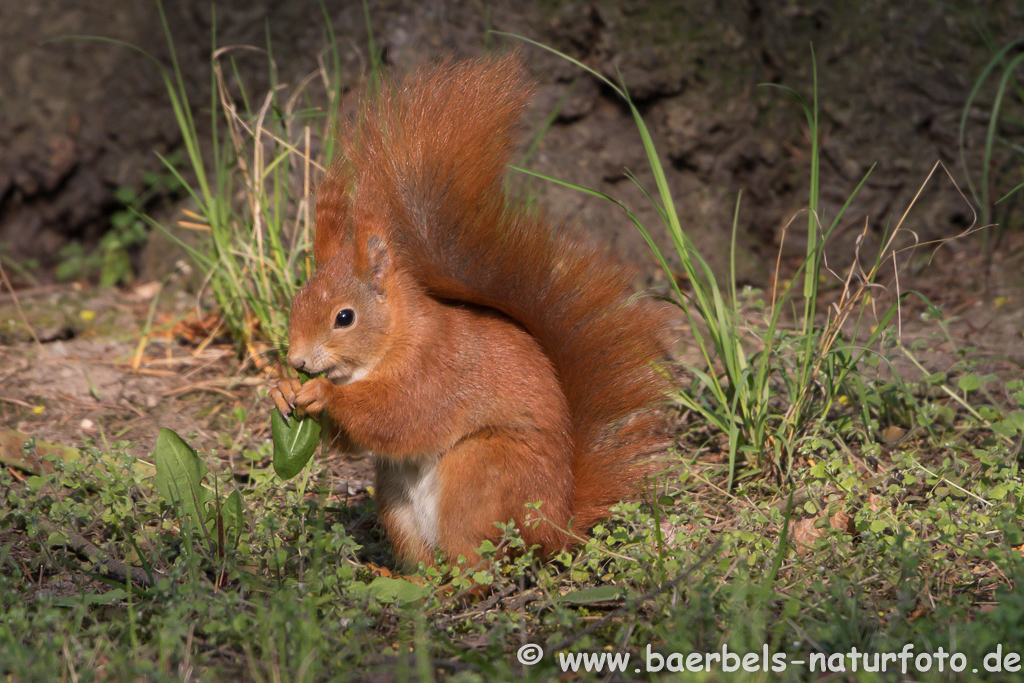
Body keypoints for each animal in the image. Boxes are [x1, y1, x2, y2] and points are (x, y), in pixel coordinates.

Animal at [272, 53, 671, 569]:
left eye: (345, 317)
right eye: (298, 300)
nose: (297, 360)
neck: (395, 340)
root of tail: (555, 527)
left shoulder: (436, 371)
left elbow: (398, 416)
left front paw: (321, 393)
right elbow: (353, 442)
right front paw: (283, 389)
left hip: (480, 473)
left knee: (476, 566)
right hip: (396, 498)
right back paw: (405, 578)